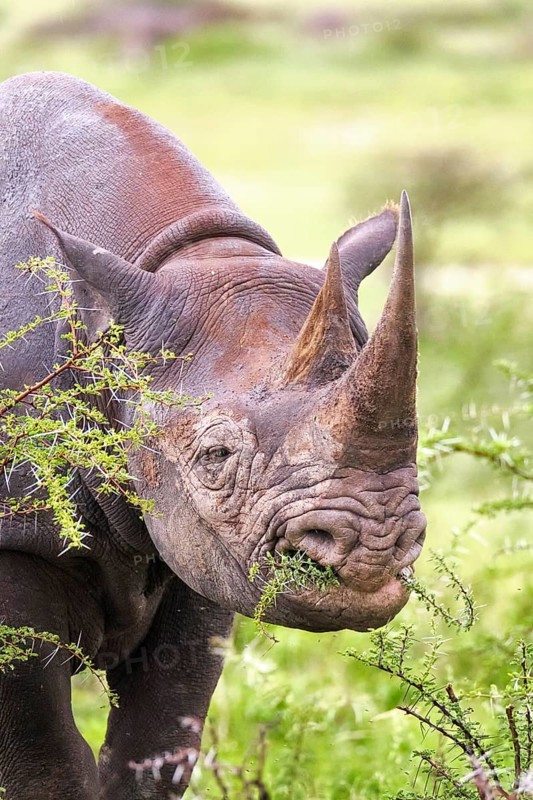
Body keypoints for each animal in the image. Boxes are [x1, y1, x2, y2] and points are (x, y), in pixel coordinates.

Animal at [0, 72, 426, 798]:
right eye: (214, 456)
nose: (373, 550)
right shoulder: (15, 537)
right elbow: (44, 764)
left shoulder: (201, 549)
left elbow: (157, 742)